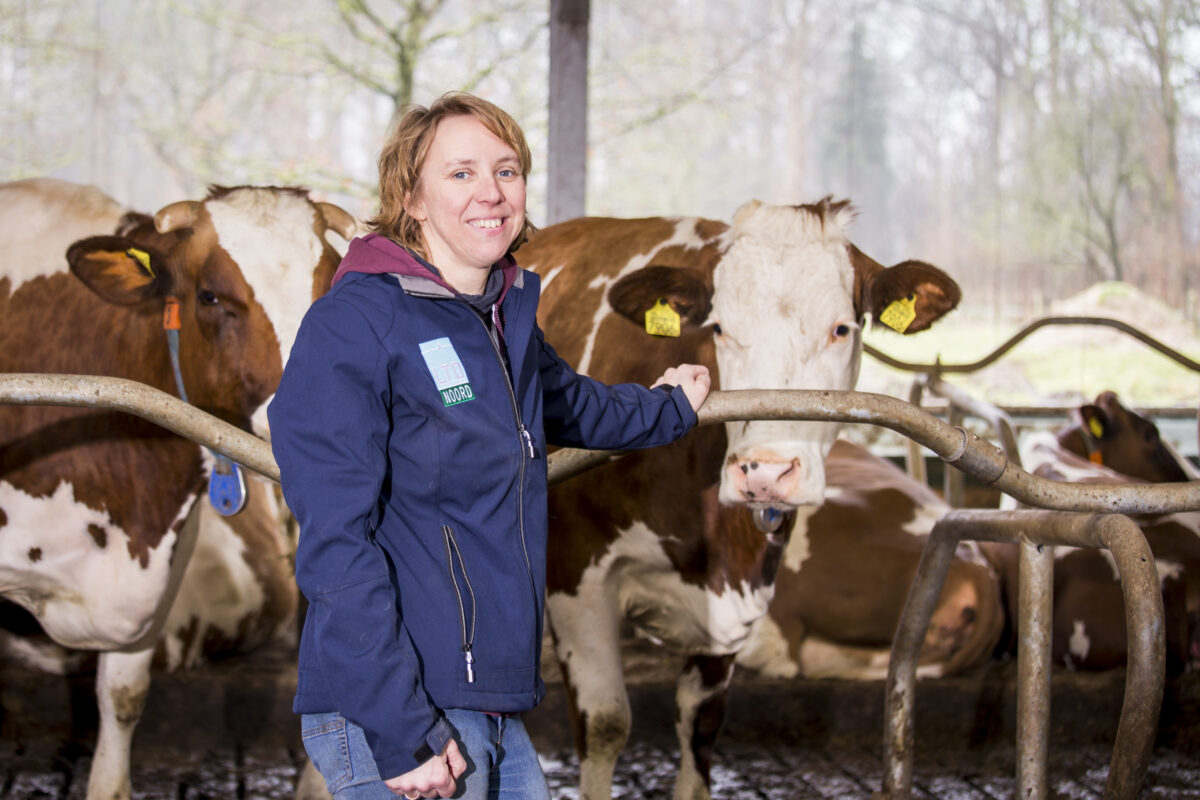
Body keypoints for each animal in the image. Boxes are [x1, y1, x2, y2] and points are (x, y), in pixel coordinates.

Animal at [520, 199, 960, 800]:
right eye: (720, 328)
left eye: (842, 328)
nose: (766, 472)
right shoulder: (577, 577)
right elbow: (607, 722)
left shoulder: (741, 593)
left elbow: (700, 729)